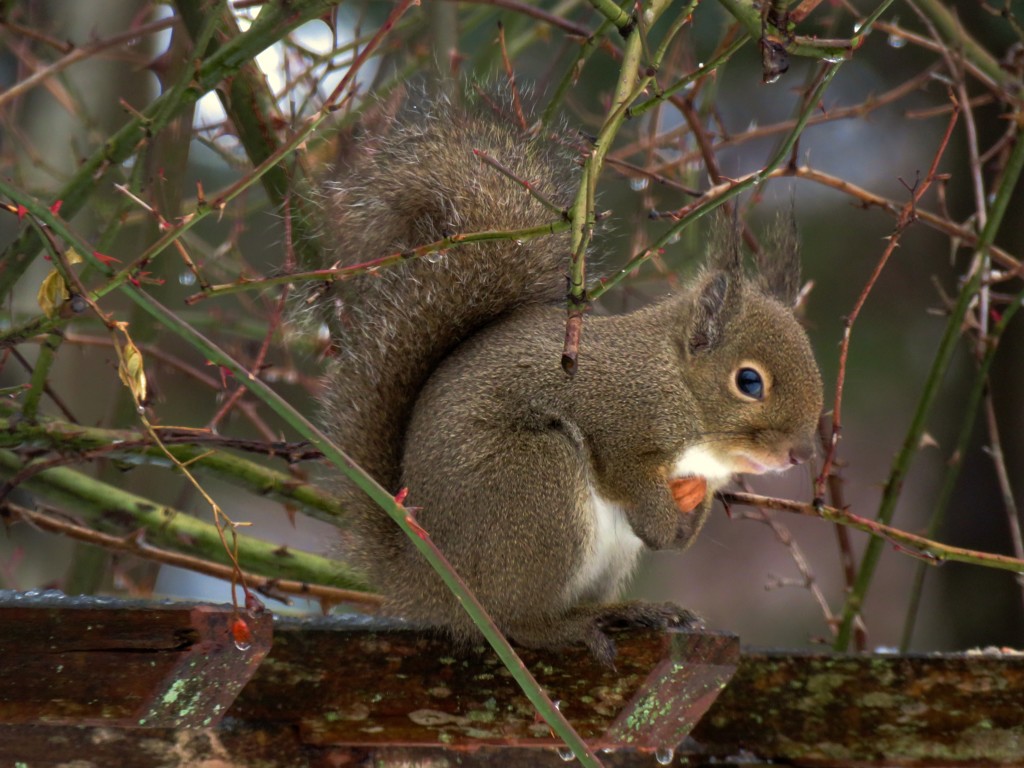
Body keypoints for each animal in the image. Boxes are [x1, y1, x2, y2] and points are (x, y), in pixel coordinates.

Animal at [311, 93, 823, 663]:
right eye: (749, 382)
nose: (801, 453)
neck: (678, 386)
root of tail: (429, 585)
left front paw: (687, 521)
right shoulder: (618, 417)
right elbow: (625, 474)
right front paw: (662, 525)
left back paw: (628, 611)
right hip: (534, 486)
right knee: (518, 621)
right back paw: (570, 626)